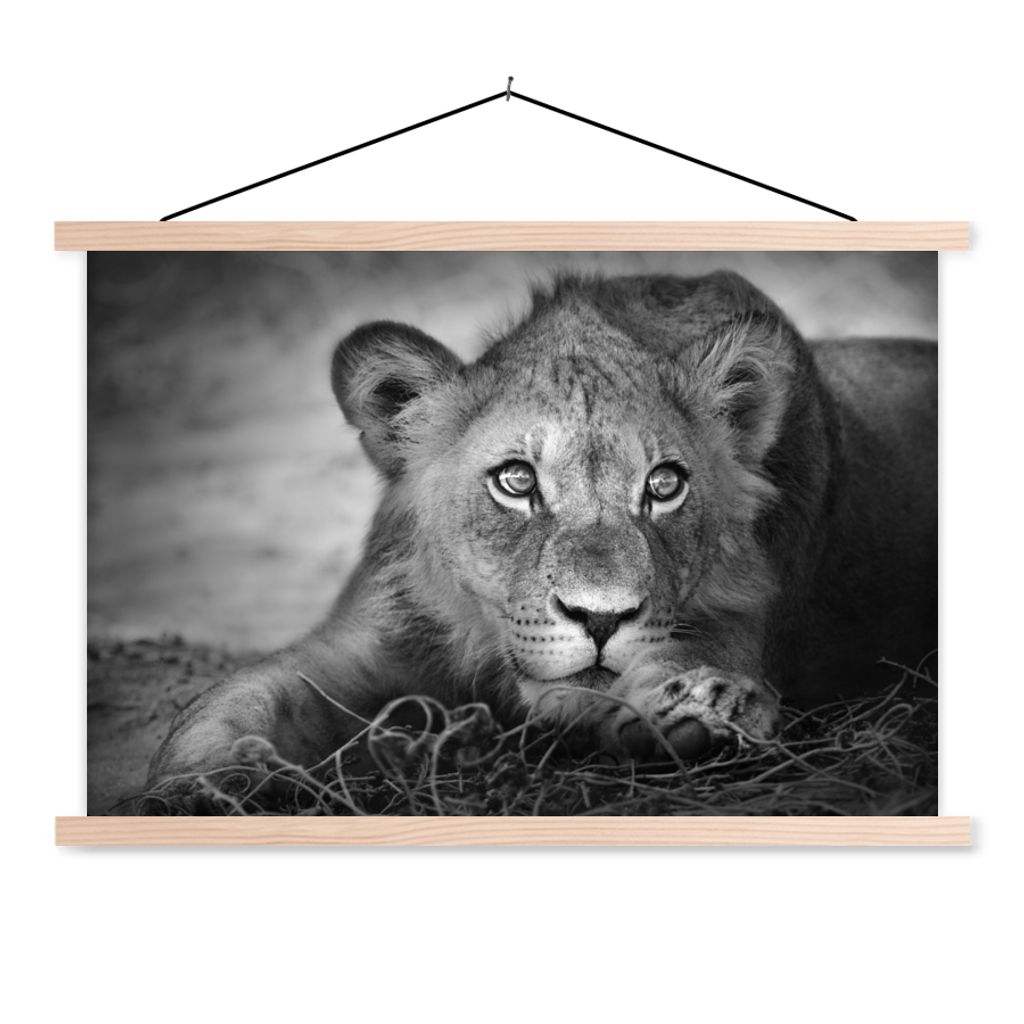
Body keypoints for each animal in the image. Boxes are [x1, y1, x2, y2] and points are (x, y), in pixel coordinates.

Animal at [148, 270, 937, 783]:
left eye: (664, 485)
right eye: (516, 481)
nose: (601, 618)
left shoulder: (734, 623)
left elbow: (688, 664)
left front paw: (704, 713)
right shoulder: (364, 641)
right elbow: (236, 700)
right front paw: (201, 786)